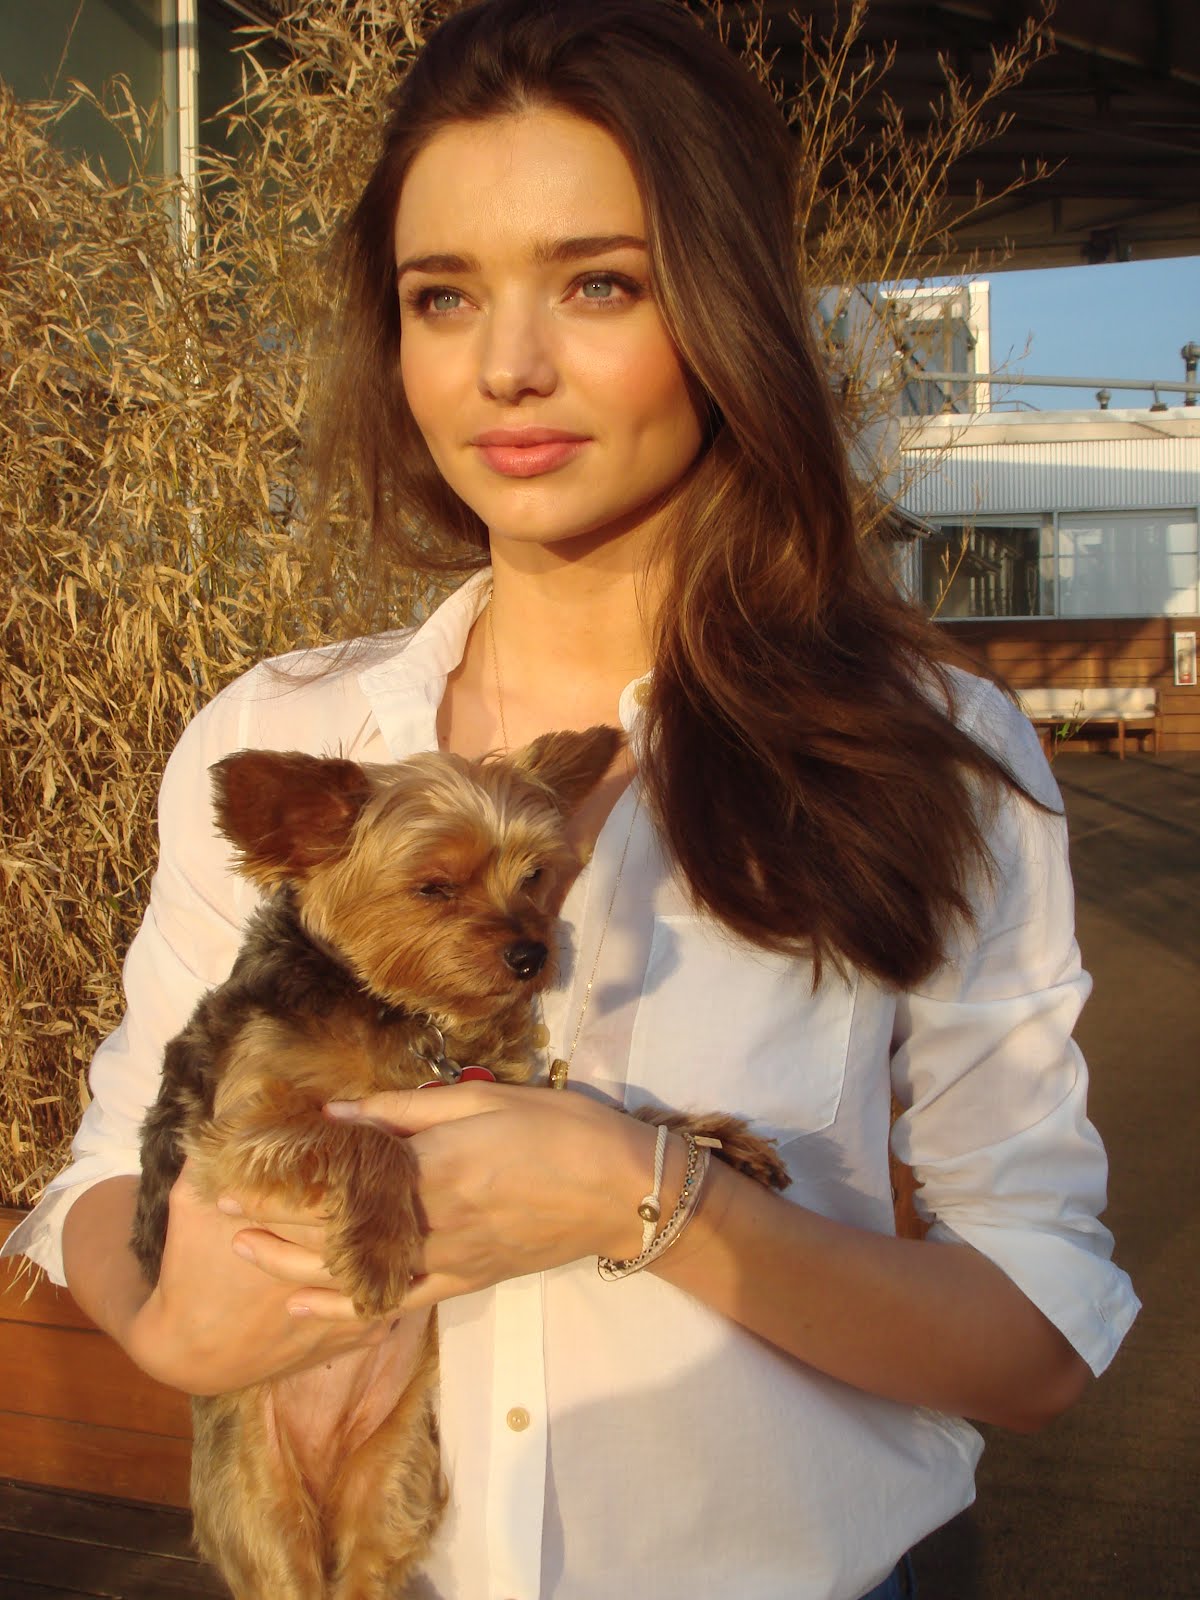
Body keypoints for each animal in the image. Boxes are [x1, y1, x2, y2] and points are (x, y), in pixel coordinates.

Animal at [131, 729, 793, 1600]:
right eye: (434, 887)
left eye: (535, 874)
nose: (531, 953)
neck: (402, 1014)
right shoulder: (233, 1134)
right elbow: (366, 1138)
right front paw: (379, 1250)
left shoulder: (506, 1092)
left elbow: (619, 1113)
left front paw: (710, 1139)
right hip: (258, 1502)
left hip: (395, 1477)